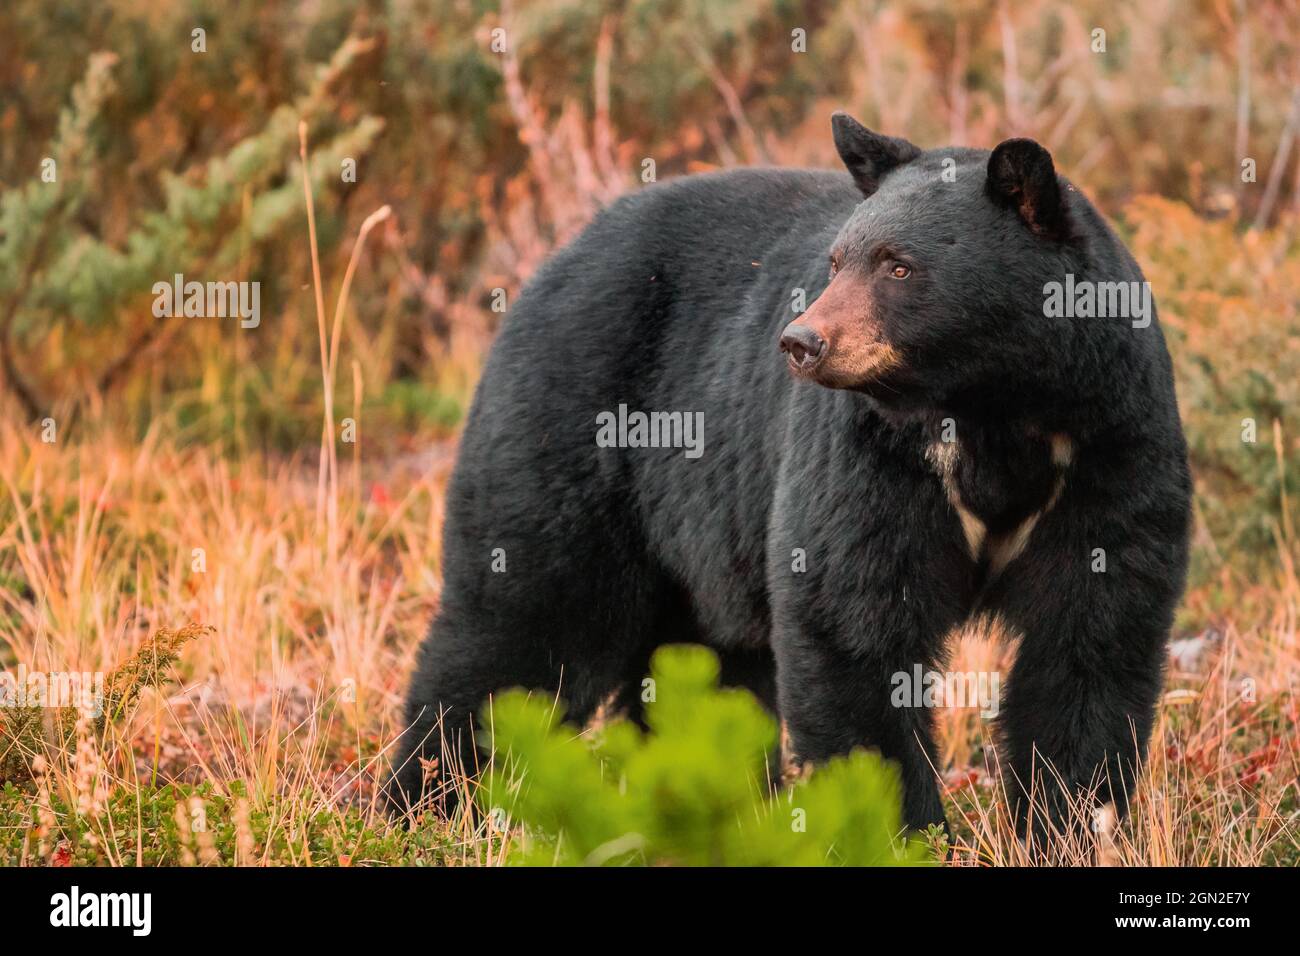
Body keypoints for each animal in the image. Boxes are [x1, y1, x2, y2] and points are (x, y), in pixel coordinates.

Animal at [384, 113, 1190, 842]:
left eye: (899, 265)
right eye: (836, 261)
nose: (803, 341)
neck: (993, 411)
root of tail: (555, 257)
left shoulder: (1110, 443)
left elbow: (1091, 636)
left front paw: (1071, 823)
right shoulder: (871, 456)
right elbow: (852, 622)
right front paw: (897, 827)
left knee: (702, 670)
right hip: (573, 416)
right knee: (523, 619)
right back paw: (430, 804)